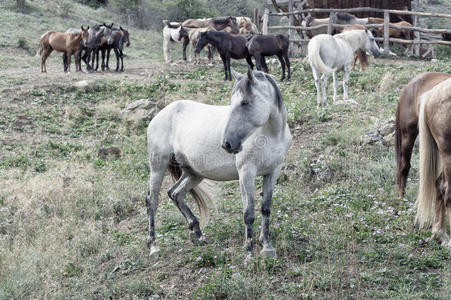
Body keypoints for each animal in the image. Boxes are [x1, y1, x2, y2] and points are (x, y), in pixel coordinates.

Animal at [145, 67, 294, 258]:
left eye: (244, 102)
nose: (227, 144)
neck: (271, 135)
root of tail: (161, 114)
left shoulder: (273, 171)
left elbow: (266, 208)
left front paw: (266, 246)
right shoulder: (246, 173)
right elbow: (249, 212)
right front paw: (249, 250)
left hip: (194, 173)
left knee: (175, 193)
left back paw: (197, 233)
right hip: (158, 166)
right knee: (152, 202)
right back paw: (153, 246)